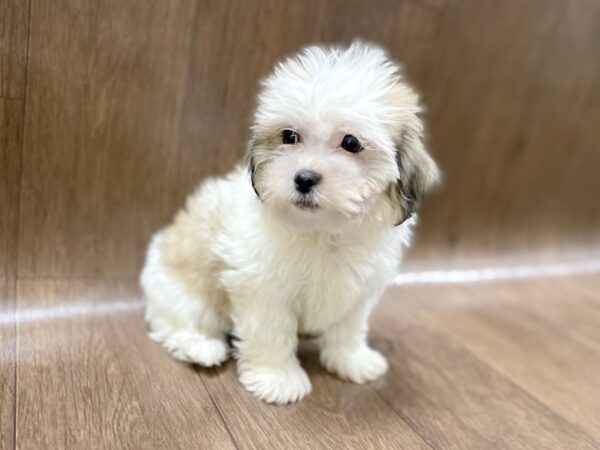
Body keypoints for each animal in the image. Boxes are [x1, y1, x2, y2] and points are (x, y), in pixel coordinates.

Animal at [141, 40, 440, 402]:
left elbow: (348, 328)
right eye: (289, 136)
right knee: (174, 324)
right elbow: (270, 332)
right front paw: (277, 378)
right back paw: (201, 347)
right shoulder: (263, 287)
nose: (304, 178)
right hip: (182, 293)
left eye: (351, 142)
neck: (325, 232)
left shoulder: (357, 289)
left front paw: (352, 360)